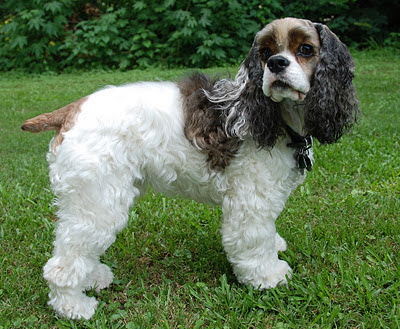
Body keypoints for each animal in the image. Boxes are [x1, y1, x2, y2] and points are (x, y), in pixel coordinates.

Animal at [21, 17, 360, 318]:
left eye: (305, 49)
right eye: (265, 52)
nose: (276, 63)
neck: (275, 117)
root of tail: (73, 109)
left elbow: (268, 232)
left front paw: (274, 248)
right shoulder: (250, 202)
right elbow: (253, 243)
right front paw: (269, 277)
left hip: (89, 202)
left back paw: (92, 279)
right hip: (99, 201)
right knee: (61, 265)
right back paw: (74, 308)